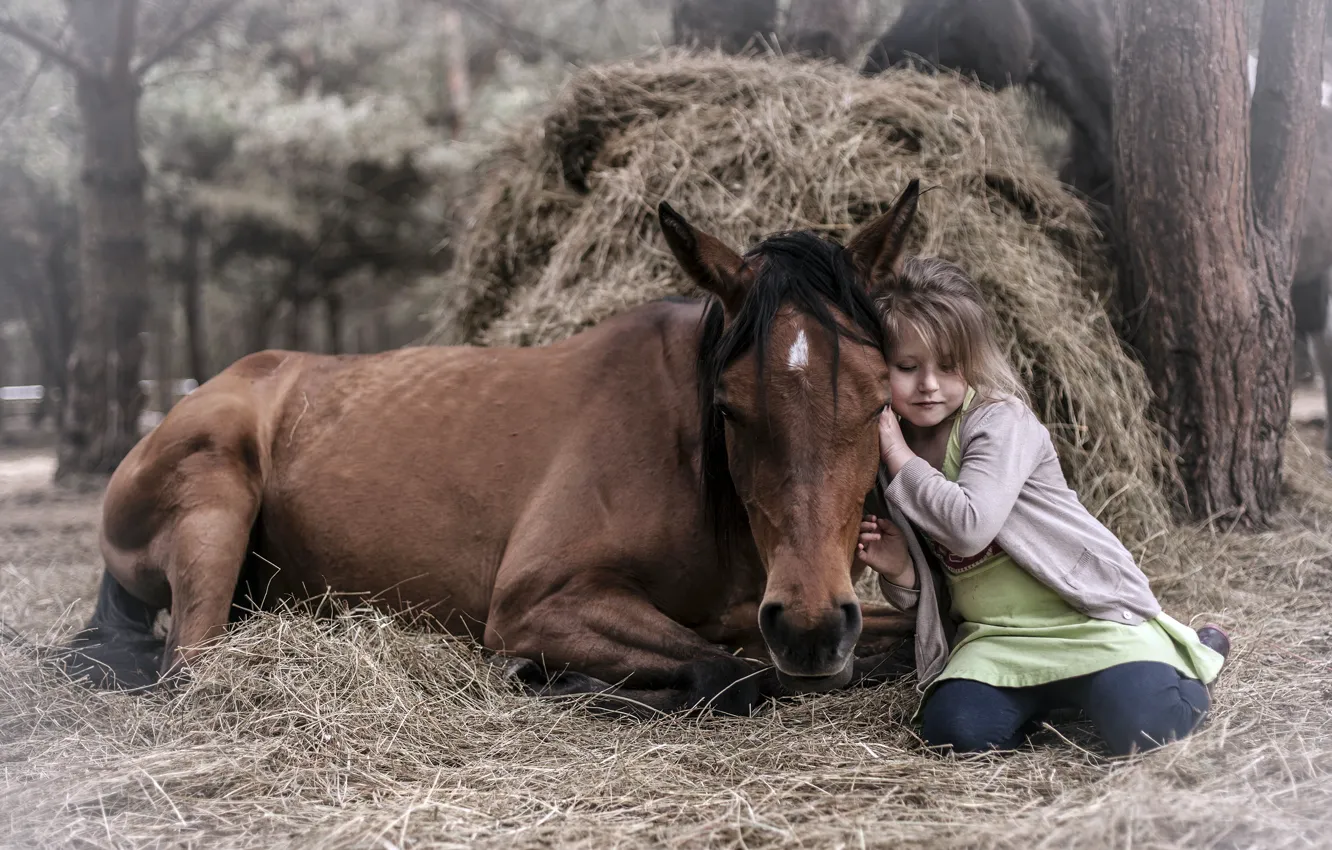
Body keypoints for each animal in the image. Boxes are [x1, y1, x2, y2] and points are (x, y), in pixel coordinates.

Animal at [62, 183, 927, 714]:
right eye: (730, 406)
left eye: (878, 397)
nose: (811, 628)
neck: (694, 468)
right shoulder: (538, 603)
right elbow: (730, 671)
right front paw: (545, 675)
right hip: (215, 501)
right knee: (192, 667)